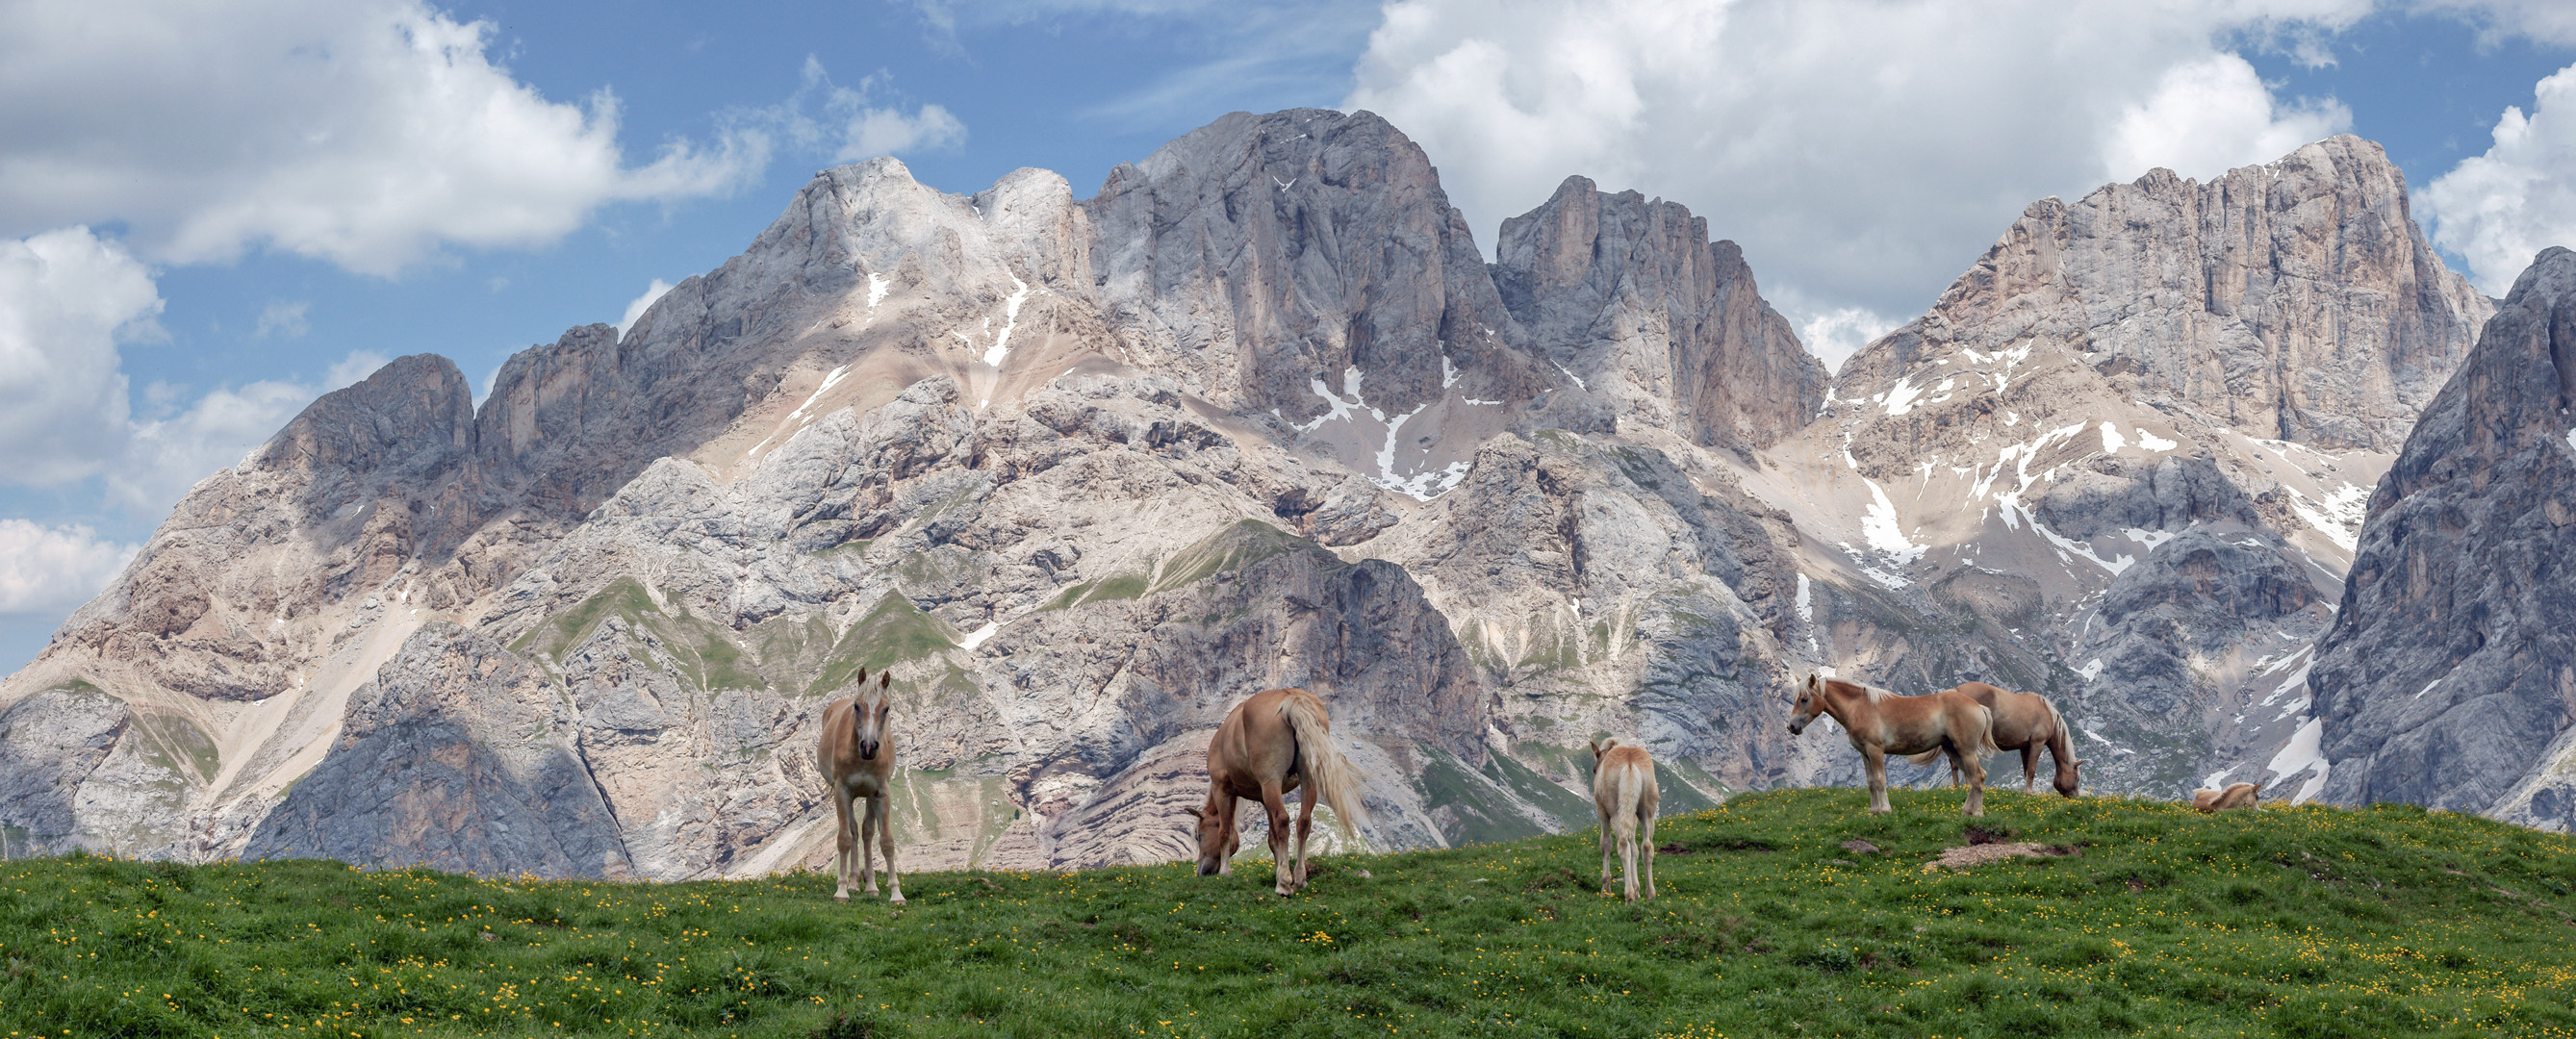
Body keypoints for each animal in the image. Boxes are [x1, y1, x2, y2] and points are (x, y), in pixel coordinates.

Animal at [824, 670, 917, 907]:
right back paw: (854, 883)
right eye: (857, 706)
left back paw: (871, 886)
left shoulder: (881, 793)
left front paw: (896, 893)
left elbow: (886, 841)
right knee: (854, 831)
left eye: (886, 708)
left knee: (866, 832)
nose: (869, 747)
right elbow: (844, 838)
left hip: (868, 796)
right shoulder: (842, 791)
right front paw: (842, 891)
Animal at [1195, 685, 1380, 897]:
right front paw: (1279, 869)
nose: (1200, 871)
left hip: (1271, 782)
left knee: (1283, 820)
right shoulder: (1264, 797)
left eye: (1199, 836)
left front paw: (1226, 872)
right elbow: (1273, 839)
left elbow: (1225, 831)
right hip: (1307, 780)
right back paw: (1299, 879)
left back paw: (1284, 884)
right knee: (1303, 822)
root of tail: (1291, 698)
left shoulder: (1223, 789)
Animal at [1576, 742, 1658, 901]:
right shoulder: (1632, 818)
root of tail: (1630, 762)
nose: (1594, 771)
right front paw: (1637, 889)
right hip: (1646, 812)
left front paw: (1605, 890)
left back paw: (1629, 895)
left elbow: (1606, 843)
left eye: (1594, 769)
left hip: (1614, 812)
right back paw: (1650, 893)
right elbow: (1634, 849)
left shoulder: (1602, 811)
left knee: (1622, 845)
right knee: (1646, 846)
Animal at [1782, 675, 1999, 820]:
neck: (1860, 708)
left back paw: (1977, 813)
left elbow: (1880, 780)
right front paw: (1874, 811)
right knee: (1975, 777)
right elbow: (1870, 782)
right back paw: (1967, 810)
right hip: (1952, 750)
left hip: (1966, 751)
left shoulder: (1875, 750)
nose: (1791, 727)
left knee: (1977, 777)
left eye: (1804, 699)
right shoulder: (1864, 754)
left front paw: (1885, 810)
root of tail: (1978, 707)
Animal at [1916, 685, 2091, 798]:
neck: (2047, 713)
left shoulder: (2024, 747)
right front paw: (2029, 793)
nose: (2076, 797)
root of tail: (1957, 691)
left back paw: (1958, 787)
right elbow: (2032, 770)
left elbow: (2026, 770)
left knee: (1955, 763)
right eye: (2077, 778)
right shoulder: (2037, 743)